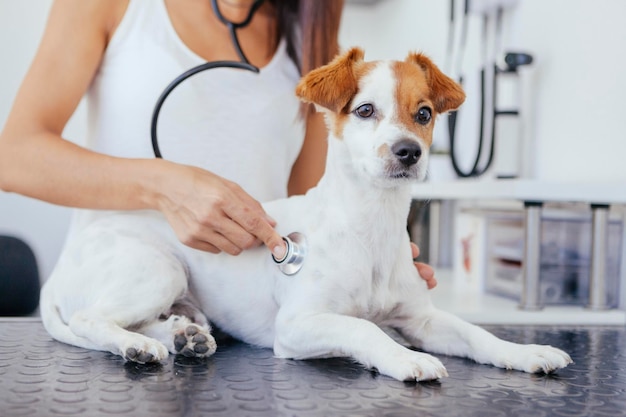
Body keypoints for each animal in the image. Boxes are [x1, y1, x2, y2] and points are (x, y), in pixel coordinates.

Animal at [40, 48, 572, 380]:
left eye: (423, 114)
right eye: (364, 111)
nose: (409, 152)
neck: (370, 226)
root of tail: (60, 270)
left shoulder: (422, 319)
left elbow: (476, 333)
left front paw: (524, 352)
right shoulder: (297, 325)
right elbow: (362, 327)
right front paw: (404, 360)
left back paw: (181, 335)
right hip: (159, 269)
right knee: (91, 318)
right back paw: (142, 346)